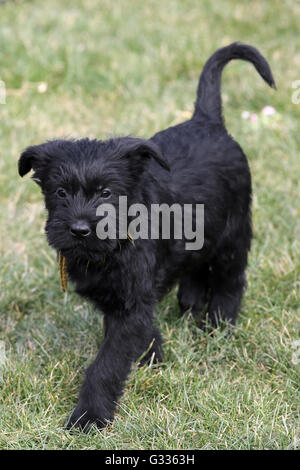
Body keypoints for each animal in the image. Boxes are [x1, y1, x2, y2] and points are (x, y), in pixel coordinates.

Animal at [18, 43, 274, 430]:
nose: (79, 229)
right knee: (195, 269)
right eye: (60, 192)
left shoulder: (131, 306)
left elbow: (105, 365)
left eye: (106, 192)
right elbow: (140, 332)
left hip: (234, 233)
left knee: (231, 280)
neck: (111, 248)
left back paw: (217, 327)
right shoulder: (123, 301)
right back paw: (191, 307)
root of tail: (207, 120)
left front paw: (88, 417)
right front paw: (152, 358)